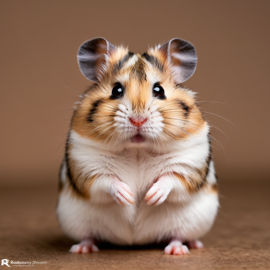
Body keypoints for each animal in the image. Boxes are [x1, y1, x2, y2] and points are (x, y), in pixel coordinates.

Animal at [57, 38, 219, 255]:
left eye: (159, 90)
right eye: (116, 90)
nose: (138, 120)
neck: (137, 150)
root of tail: (134, 241)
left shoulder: (190, 162)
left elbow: (172, 178)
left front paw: (151, 197)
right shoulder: (85, 165)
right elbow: (104, 180)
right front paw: (128, 197)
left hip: (193, 221)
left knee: (177, 235)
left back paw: (180, 249)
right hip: (76, 221)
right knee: (89, 235)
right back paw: (82, 249)